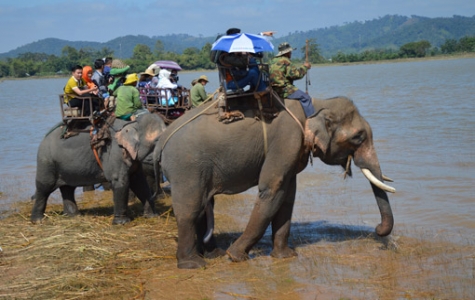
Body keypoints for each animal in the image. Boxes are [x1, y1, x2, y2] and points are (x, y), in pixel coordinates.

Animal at [31, 113, 167, 225]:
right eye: (157, 141)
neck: (131, 123)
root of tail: (44, 138)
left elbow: (139, 182)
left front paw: (153, 216)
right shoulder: (115, 153)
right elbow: (120, 182)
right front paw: (122, 223)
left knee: (68, 188)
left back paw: (74, 216)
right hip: (46, 162)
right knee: (44, 188)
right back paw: (38, 220)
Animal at [154, 94, 396, 270]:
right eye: (358, 137)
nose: (377, 229)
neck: (317, 104)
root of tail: (162, 139)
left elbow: (287, 196)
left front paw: (286, 256)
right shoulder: (287, 140)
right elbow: (273, 190)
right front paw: (236, 256)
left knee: (205, 205)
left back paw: (214, 254)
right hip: (187, 166)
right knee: (190, 209)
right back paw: (193, 264)